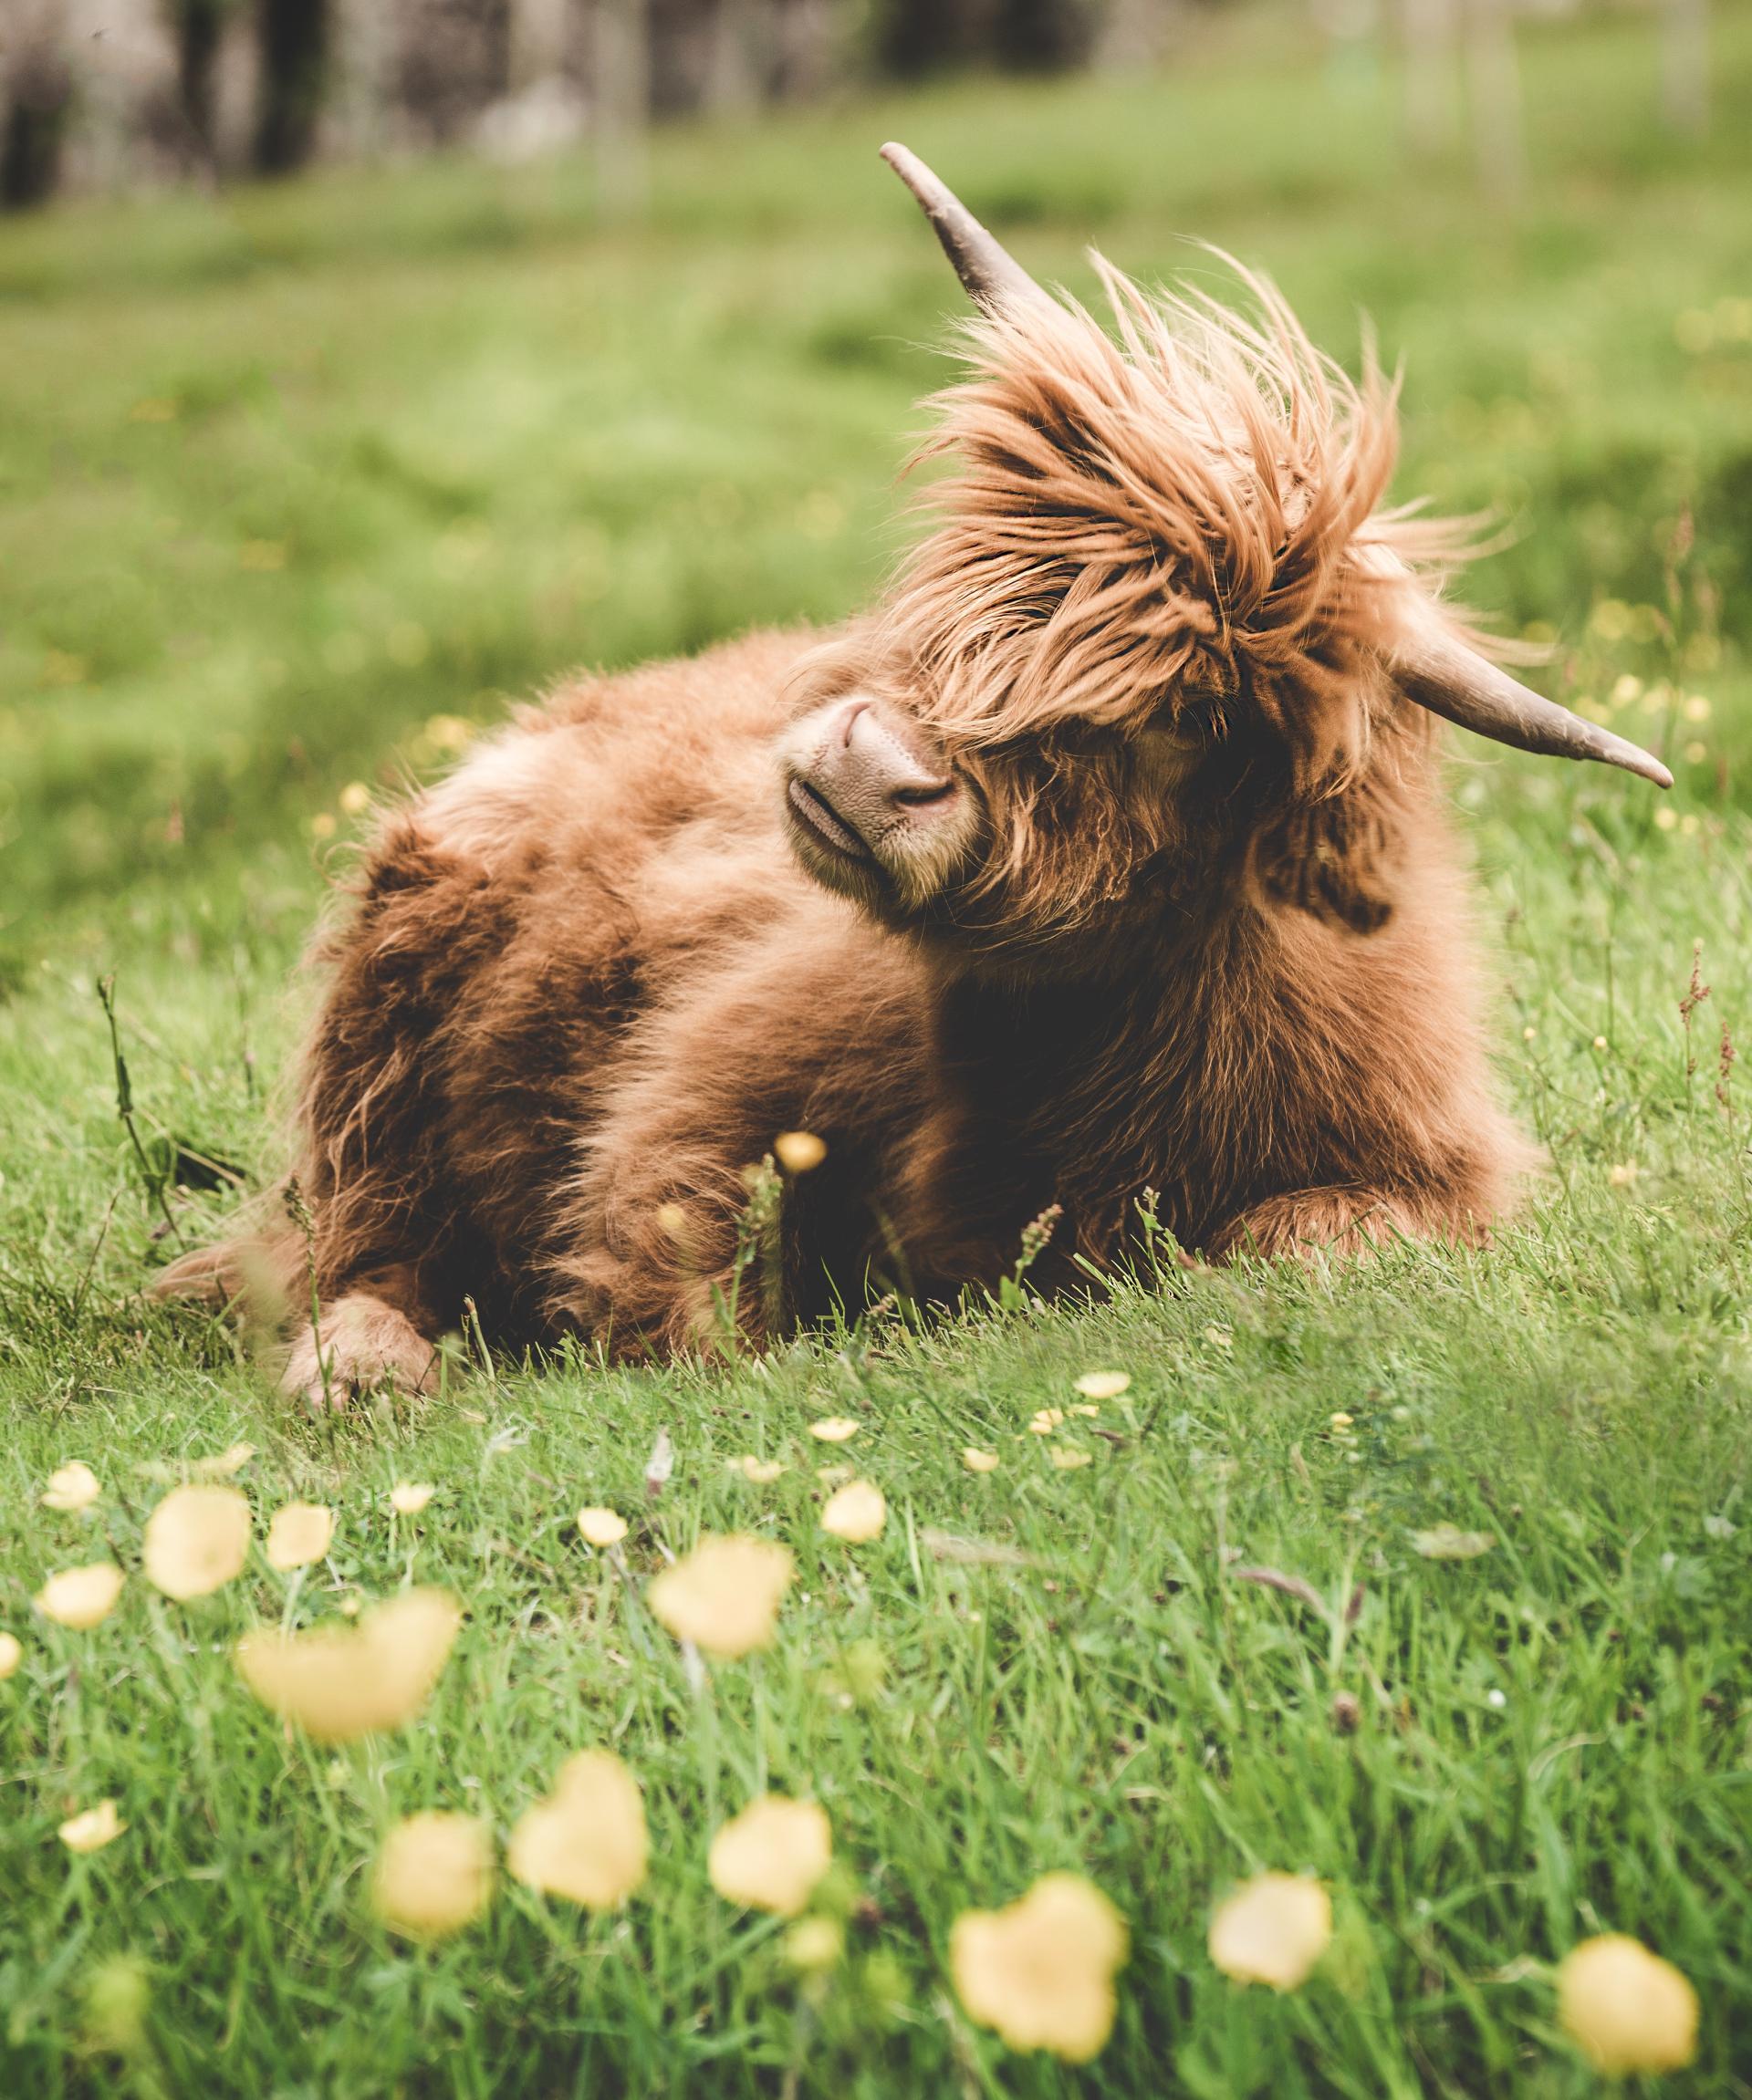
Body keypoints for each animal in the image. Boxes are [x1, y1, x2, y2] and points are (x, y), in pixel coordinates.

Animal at [163, 143, 1663, 1394]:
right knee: (358, 1242)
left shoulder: (1433, 1181)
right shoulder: (700, 1092)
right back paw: (360, 1370)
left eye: (1188, 719)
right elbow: (683, 1291)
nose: (871, 768)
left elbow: (1297, 1242)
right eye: (970, 572)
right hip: (396, 989)